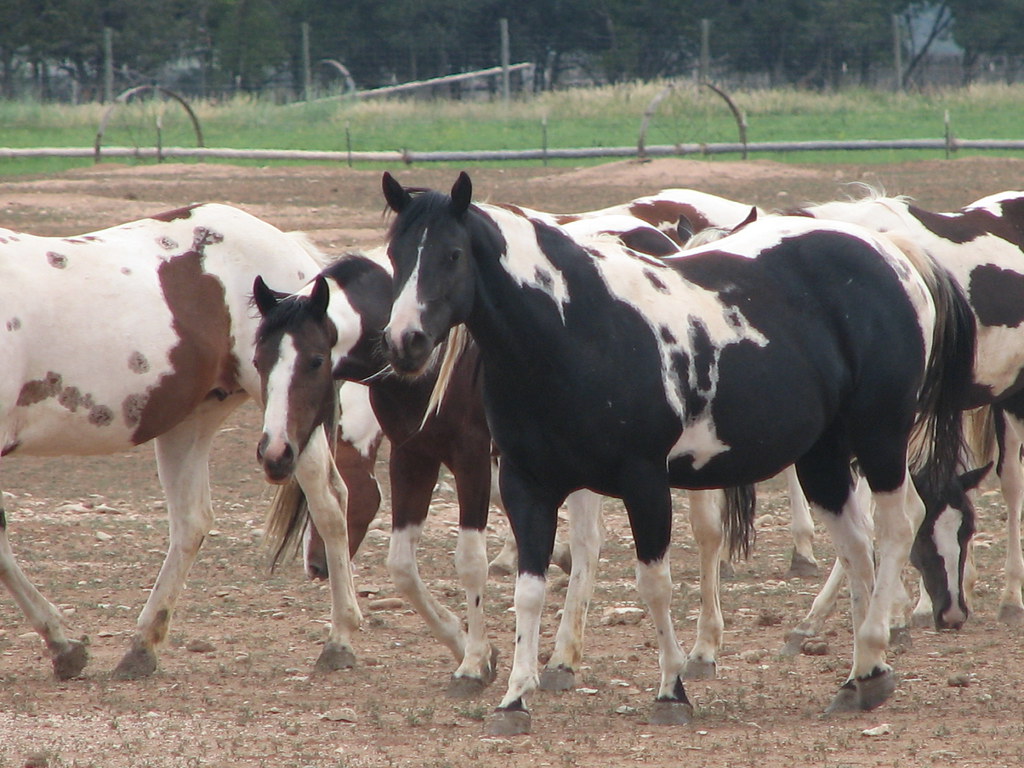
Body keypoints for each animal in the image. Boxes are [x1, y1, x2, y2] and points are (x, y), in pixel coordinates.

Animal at [0, 203, 362, 680]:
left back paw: (340, 641)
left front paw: (63, 645)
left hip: (289, 429)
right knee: (192, 522)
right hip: (192, 423)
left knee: (330, 504)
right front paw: (64, 646)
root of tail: (289, 245)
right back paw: (141, 647)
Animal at [380, 171, 975, 734]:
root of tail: (892, 253)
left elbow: (655, 586)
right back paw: (862, 676)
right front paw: (512, 700)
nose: (404, 341)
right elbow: (529, 593)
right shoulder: (527, 486)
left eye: (452, 255)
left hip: (878, 436)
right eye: (395, 255)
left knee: (899, 523)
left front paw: (672, 692)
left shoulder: (644, 481)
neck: (579, 329)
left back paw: (874, 646)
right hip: (823, 455)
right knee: (855, 543)